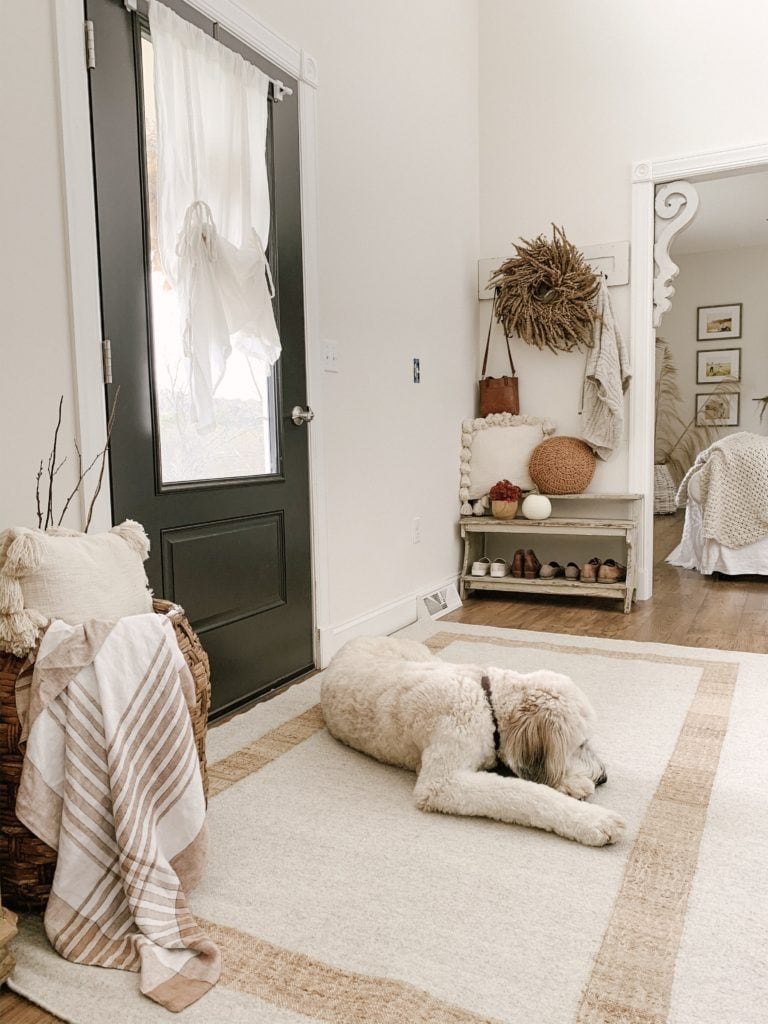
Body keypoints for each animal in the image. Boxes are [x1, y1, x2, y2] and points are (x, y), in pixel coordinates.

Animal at [321, 634, 626, 843]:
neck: (486, 703)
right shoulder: (442, 784)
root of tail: (356, 637)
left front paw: (571, 782)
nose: (603, 777)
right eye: (581, 743)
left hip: (429, 658)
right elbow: (523, 793)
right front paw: (595, 820)